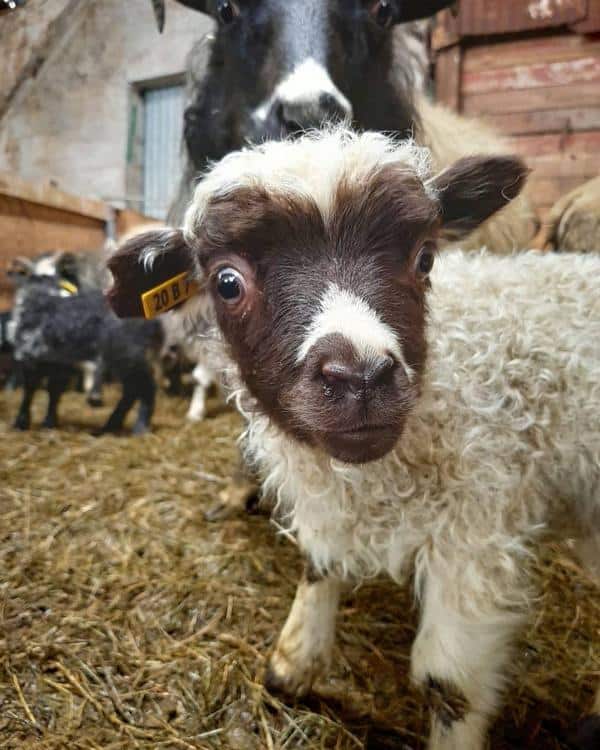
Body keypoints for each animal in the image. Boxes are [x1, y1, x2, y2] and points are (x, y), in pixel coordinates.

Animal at [107, 128, 600, 750]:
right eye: (227, 281)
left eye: (425, 258)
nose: (361, 376)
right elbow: (319, 564)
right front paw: (293, 663)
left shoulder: (477, 527)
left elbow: (449, 686)